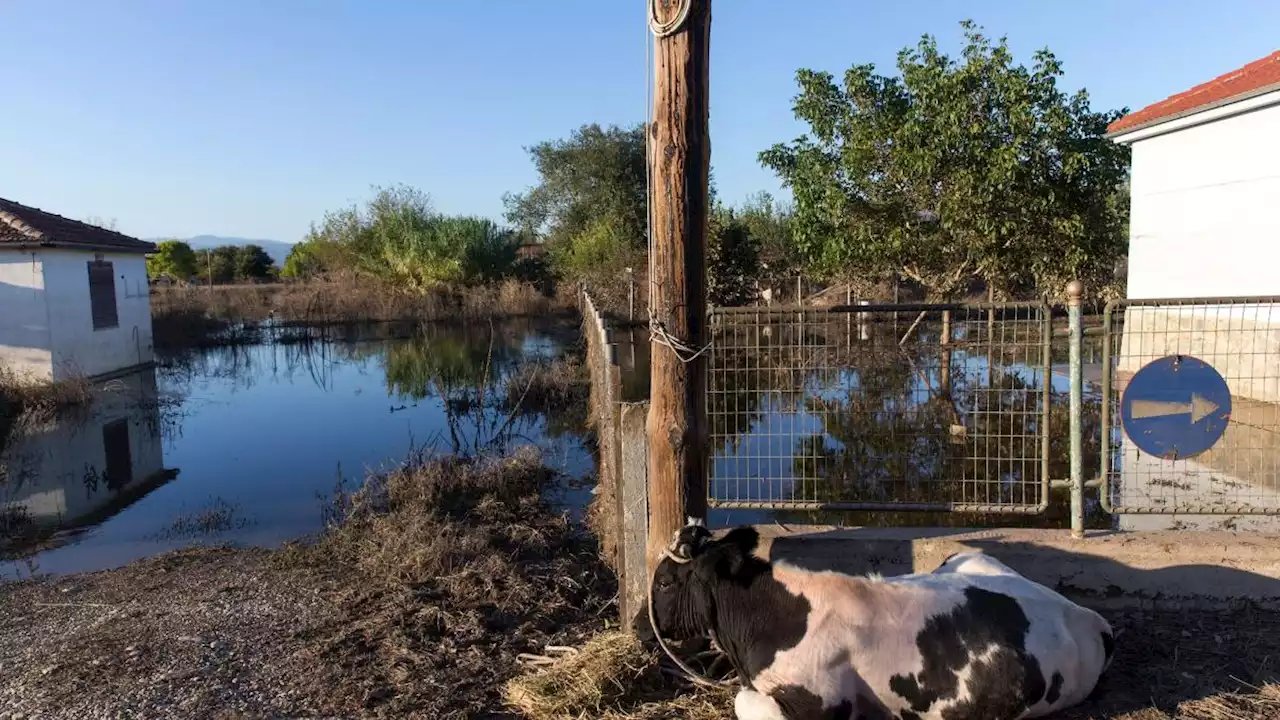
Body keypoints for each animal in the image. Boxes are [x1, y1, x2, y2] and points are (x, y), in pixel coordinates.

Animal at [634, 520, 1116, 717]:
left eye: (665, 583)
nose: (640, 625)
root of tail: (1089, 617)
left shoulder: (819, 705)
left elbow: (743, 702)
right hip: (966, 558)